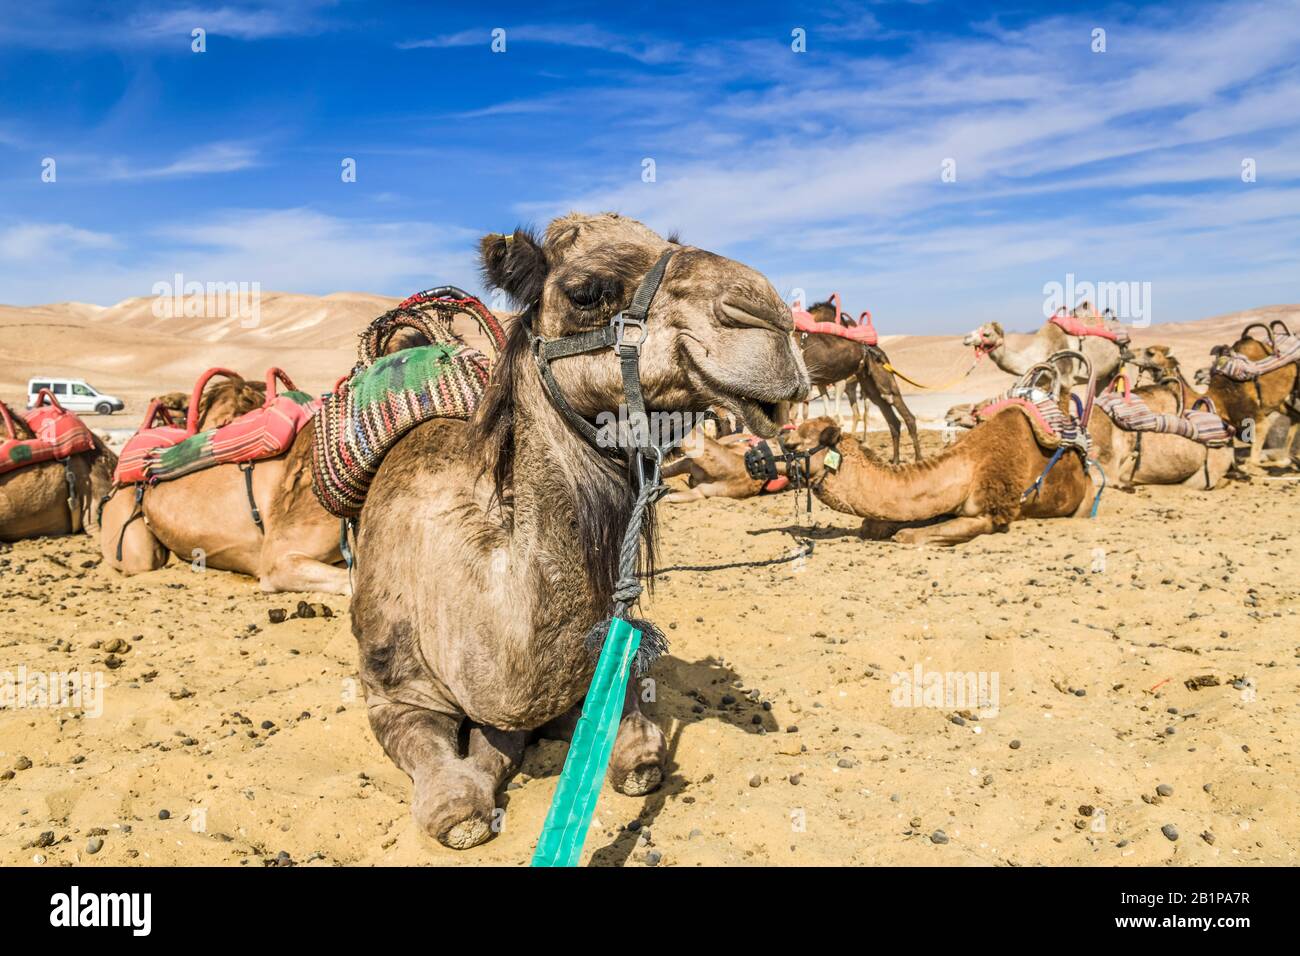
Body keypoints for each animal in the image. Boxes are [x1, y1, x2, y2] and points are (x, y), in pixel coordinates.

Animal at [351, 213, 806, 848]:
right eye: (586, 292)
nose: (770, 318)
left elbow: (637, 758)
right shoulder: (393, 694)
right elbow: (455, 802)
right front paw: (469, 794)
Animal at [790, 299, 925, 463]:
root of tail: (876, 349)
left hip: (882, 378)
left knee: (902, 410)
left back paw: (918, 459)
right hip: (869, 383)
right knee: (892, 419)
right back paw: (894, 461)